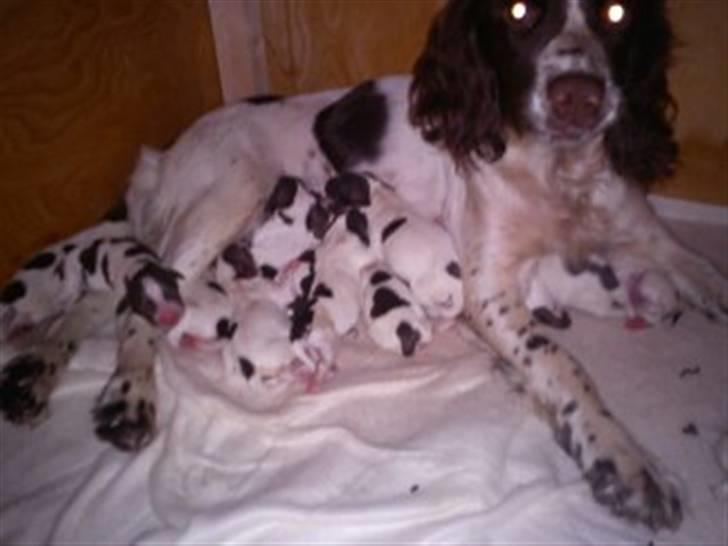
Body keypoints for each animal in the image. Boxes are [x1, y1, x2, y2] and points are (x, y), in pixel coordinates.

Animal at [1, 0, 728, 532]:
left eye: (616, 13)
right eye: (520, 12)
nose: (580, 95)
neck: (558, 169)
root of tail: (163, 153)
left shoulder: (656, 240)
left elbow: (700, 274)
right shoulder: (489, 291)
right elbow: (563, 365)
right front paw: (624, 461)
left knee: (117, 293)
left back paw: (36, 366)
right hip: (227, 197)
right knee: (141, 303)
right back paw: (127, 393)